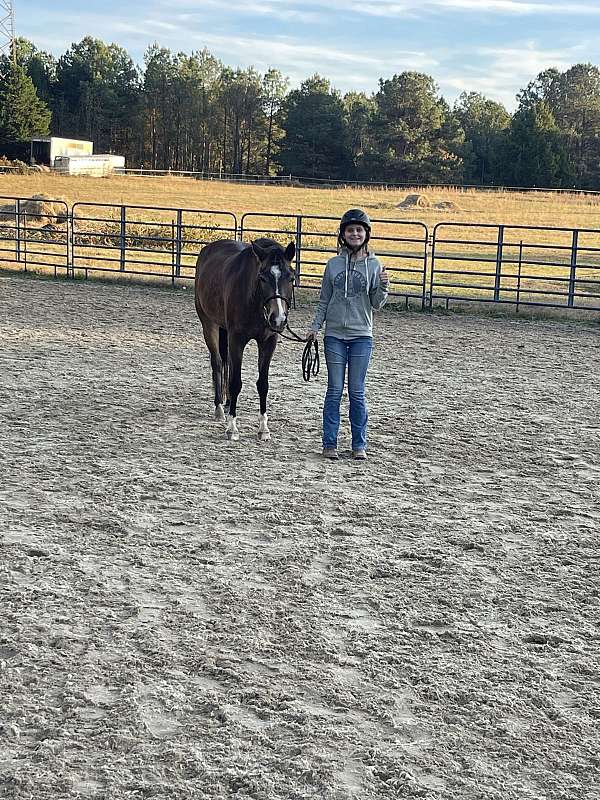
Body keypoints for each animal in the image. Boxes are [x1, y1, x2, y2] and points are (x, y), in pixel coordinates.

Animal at [195, 238, 296, 440]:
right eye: (262, 278)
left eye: (291, 278)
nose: (278, 319)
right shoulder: (237, 340)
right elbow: (235, 383)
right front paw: (232, 428)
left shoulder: (268, 342)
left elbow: (263, 384)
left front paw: (263, 429)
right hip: (209, 324)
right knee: (218, 363)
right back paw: (220, 408)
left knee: (227, 364)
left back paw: (227, 404)